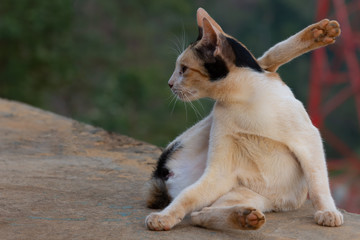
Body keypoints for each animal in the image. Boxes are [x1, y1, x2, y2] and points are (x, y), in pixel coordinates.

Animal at [146, 8, 344, 231]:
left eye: (184, 69)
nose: (170, 84)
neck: (242, 98)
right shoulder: (221, 168)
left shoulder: (308, 137)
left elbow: (319, 184)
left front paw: (327, 212)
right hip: (218, 172)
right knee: (195, 209)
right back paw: (241, 217)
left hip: (244, 191)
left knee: (200, 213)